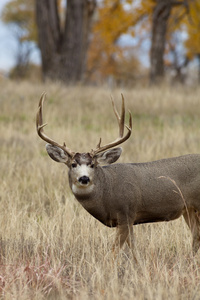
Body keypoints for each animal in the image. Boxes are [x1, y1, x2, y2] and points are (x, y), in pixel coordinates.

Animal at [36, 93, 200, 255]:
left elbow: (114, 251)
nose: (84, 178)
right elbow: (133, 248)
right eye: (73, 164)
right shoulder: (128, 219)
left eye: (93, 165)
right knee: (195, 236)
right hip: (188, 209)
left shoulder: (126, 213)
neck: (106, 193)